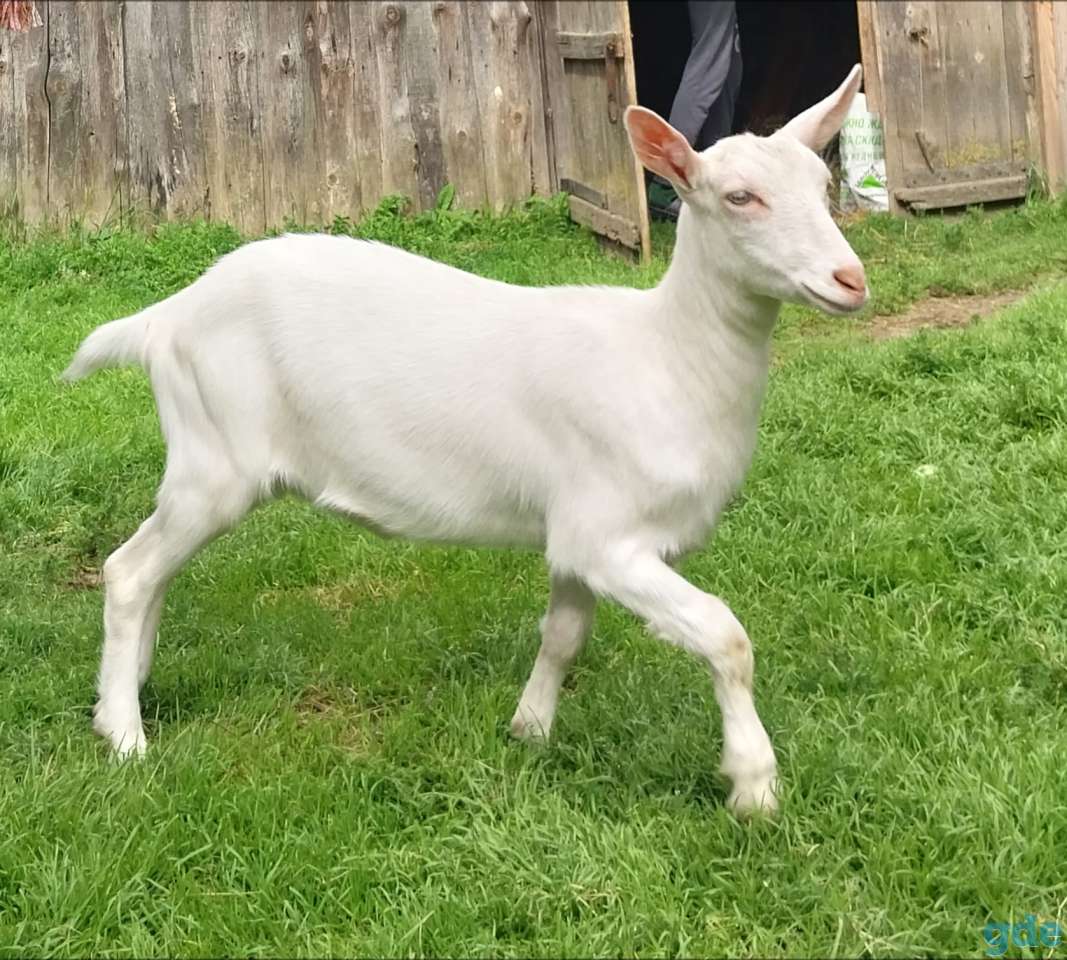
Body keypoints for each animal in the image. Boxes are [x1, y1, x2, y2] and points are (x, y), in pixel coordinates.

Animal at [63, 66, 868, 816]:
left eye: (822, 183)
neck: (666, 357)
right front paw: (754, 786)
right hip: (215, 461)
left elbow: (563, 634)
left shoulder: (573, 533)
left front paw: (529, 730)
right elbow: (724, 635)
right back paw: (127, 738)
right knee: (130, 571)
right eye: (739, 197)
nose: (850, 279)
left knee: (154, 571)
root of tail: (164, 318)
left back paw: (118, 698)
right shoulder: (609, 536)